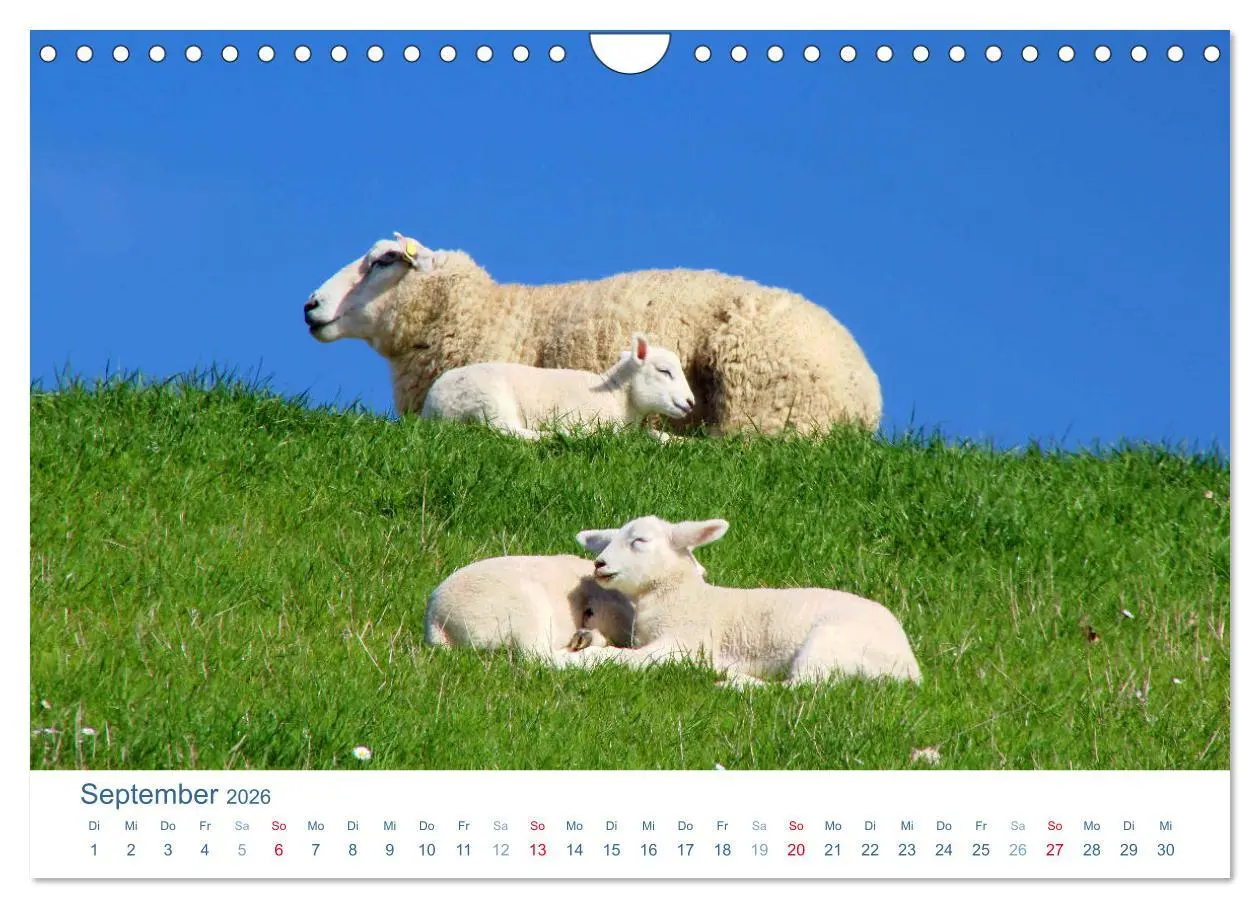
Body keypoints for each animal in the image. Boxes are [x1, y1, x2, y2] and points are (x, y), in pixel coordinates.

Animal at [419, 333, 695, 442]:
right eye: (664, 371)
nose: (691, 403)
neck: (618, 396)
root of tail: (432, 407)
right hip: (490, 400)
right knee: (506, 431)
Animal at [559, 515, 922, 687]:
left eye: (640, 541)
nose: (599, 564)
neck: (683, 598)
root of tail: (910, 668)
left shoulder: (683, 645)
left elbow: (623, 659)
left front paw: (572, 660)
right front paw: (584, 639)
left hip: (830, 644)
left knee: (803, 688)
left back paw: (736, 682)